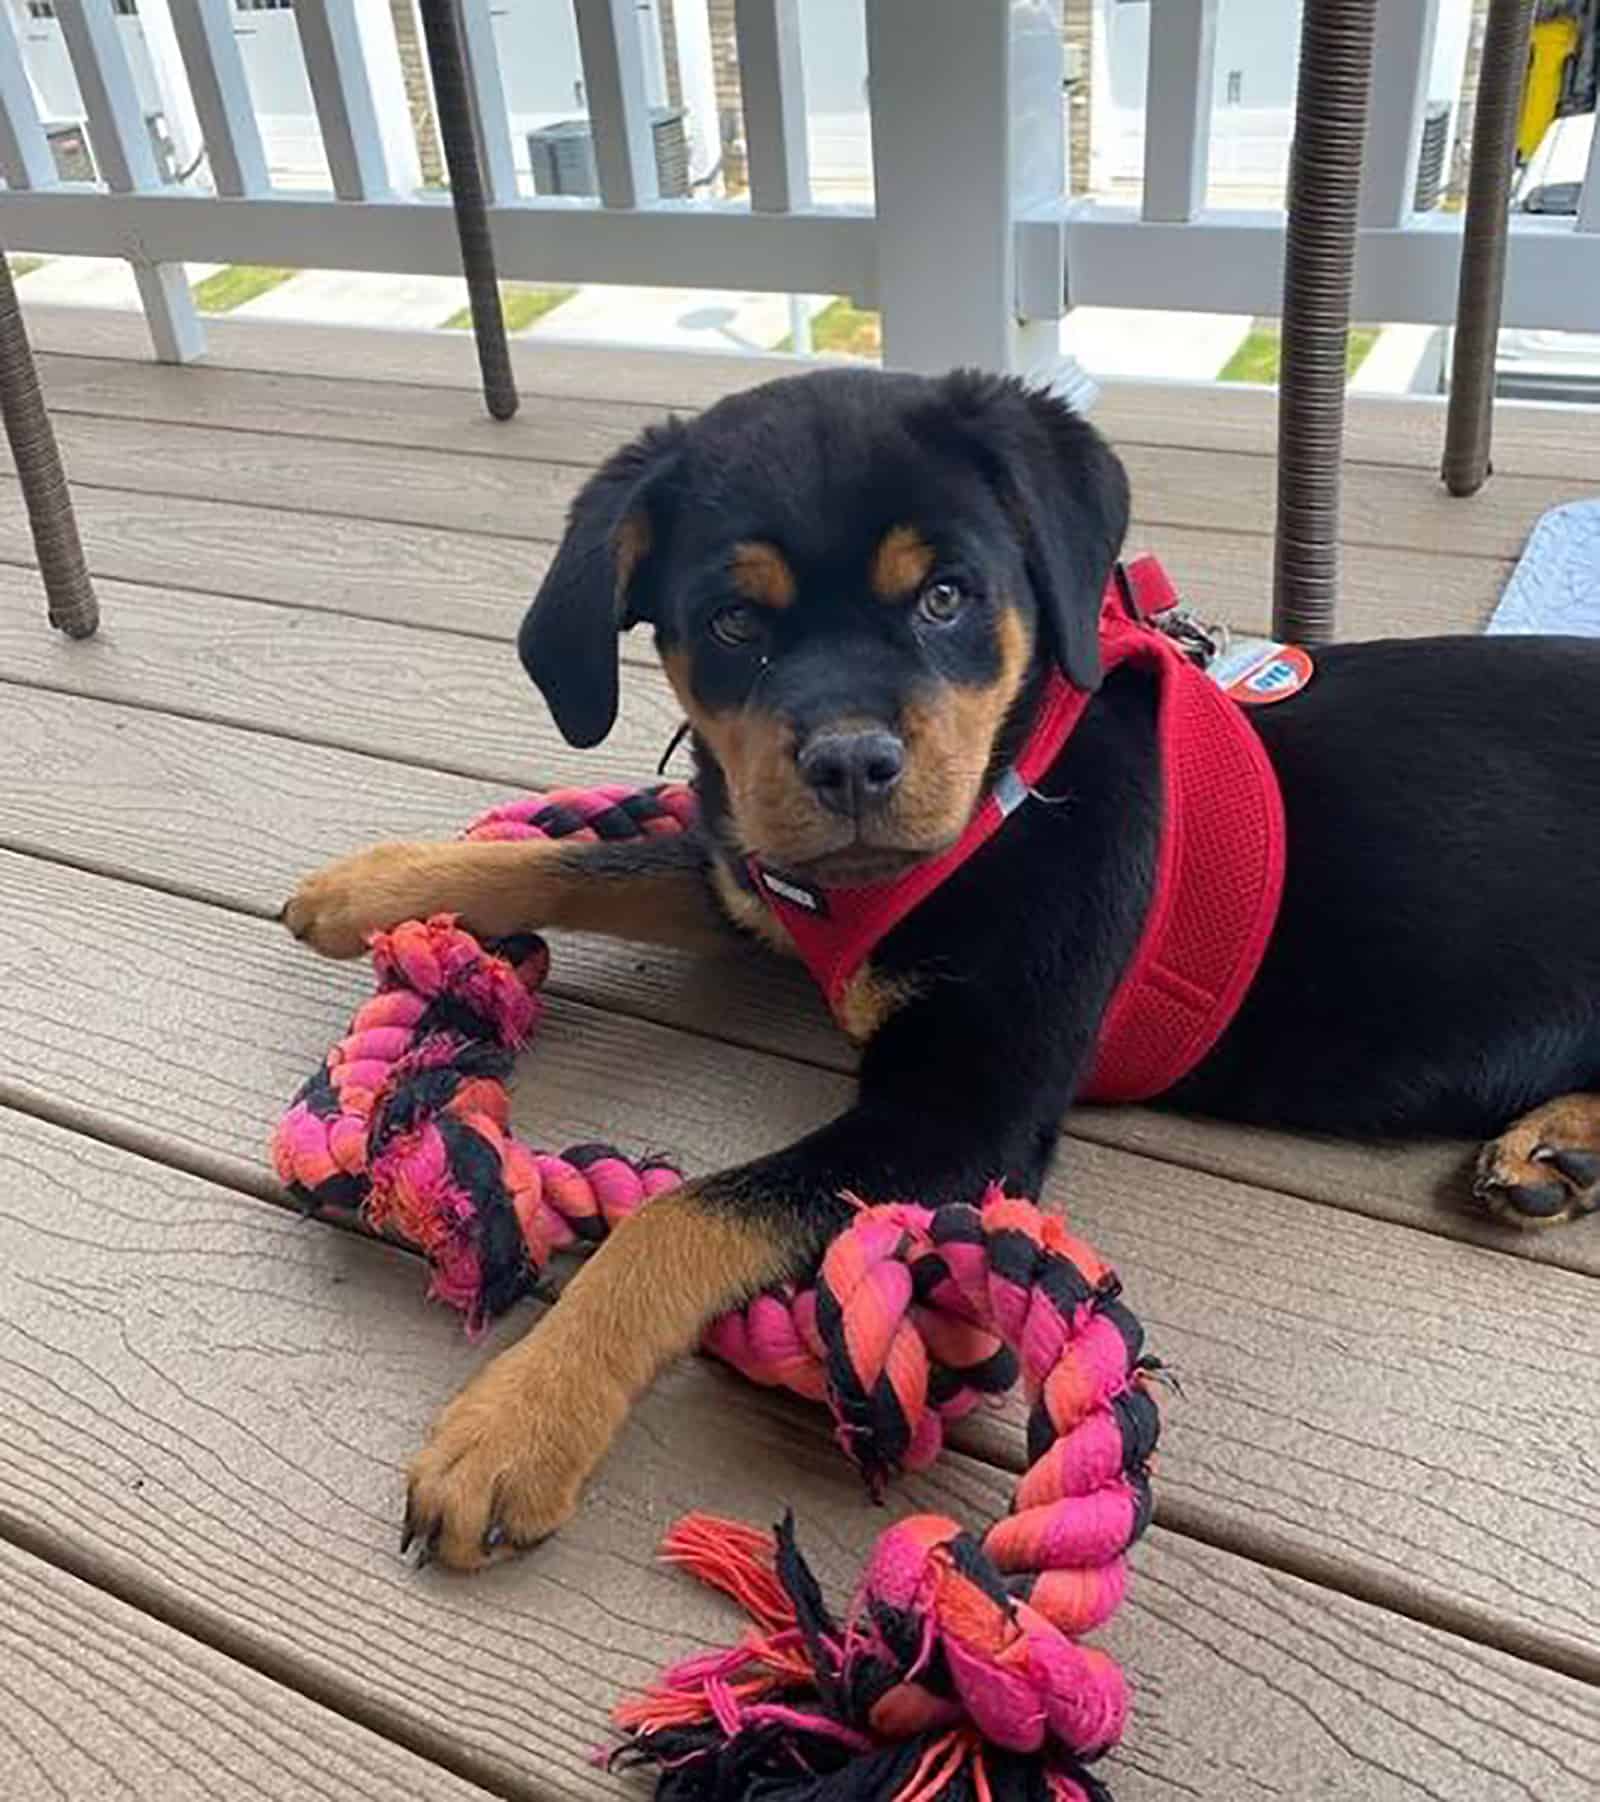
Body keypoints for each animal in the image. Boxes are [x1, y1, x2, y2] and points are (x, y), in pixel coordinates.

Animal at [284, 362, 1600, 1564]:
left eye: (946, 596)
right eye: (734, 624)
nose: (852, 765)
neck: (995, 798)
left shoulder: (961, 1102)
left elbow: (676, 1217)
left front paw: (515, 1423)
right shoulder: (757, 880)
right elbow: (600, 858)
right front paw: (367, 883)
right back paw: (1555, 1149)